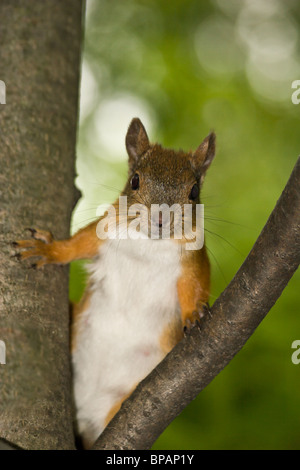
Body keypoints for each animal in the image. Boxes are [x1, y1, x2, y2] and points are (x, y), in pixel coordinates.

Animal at [15, 117, 214, 448]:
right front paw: (49, 250)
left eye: (194, 191)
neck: (149, 244)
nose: (161, 218)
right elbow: (78, 244)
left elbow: (195, 286)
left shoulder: (193, 263)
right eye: (135, 180)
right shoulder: (104, 230)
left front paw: (195, 313)